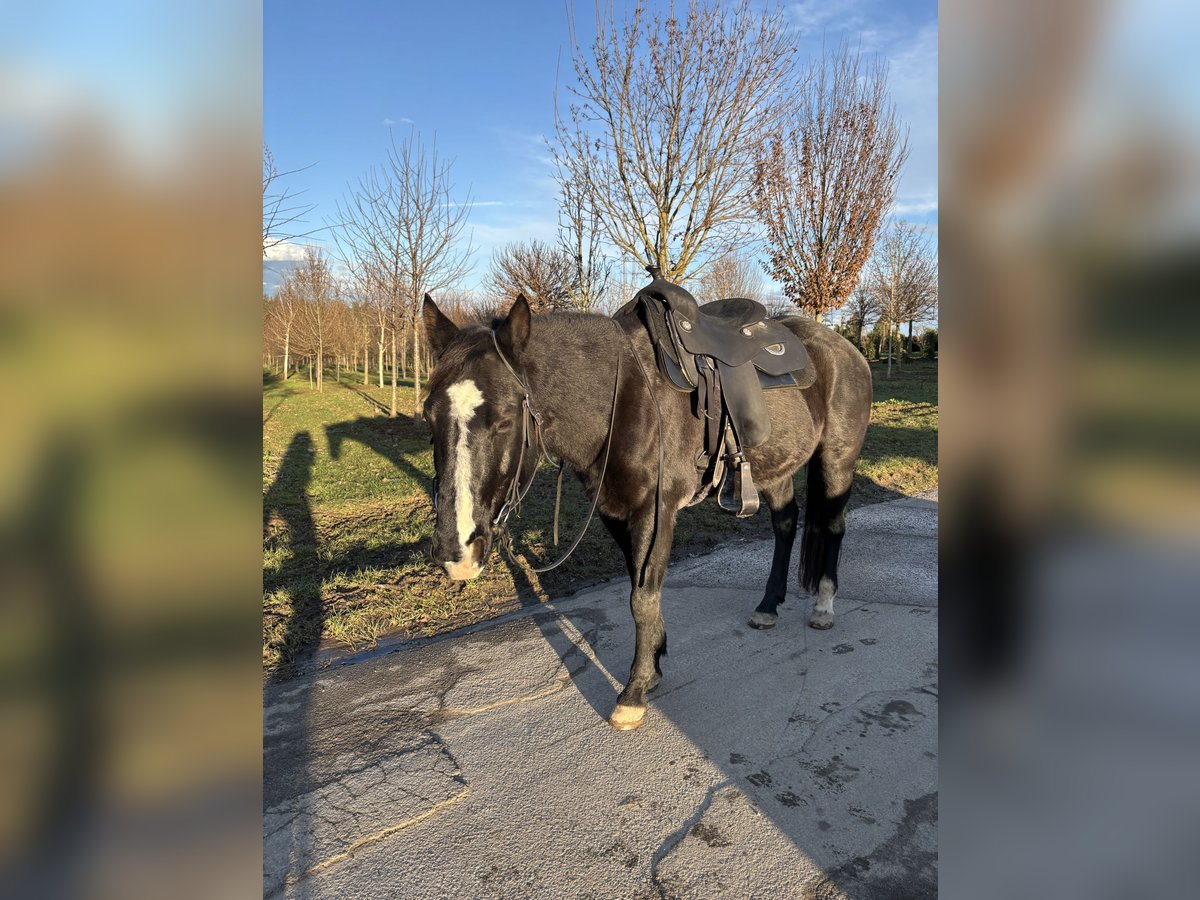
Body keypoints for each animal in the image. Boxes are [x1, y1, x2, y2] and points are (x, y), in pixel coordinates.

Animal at [422, 296, 873, 734]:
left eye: (504, 421)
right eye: (429, 416)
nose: (455, 551)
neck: (622, 398)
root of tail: (846, 350)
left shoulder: (656, 514)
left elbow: (642, 598)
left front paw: (634, 691)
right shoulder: (615, 512)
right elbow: (641, 592)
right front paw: (654, 663)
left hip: (836, 462)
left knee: (833, 527)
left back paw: (824, 607)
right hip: (773, 469)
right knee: (785, 524)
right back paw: (768, 606)